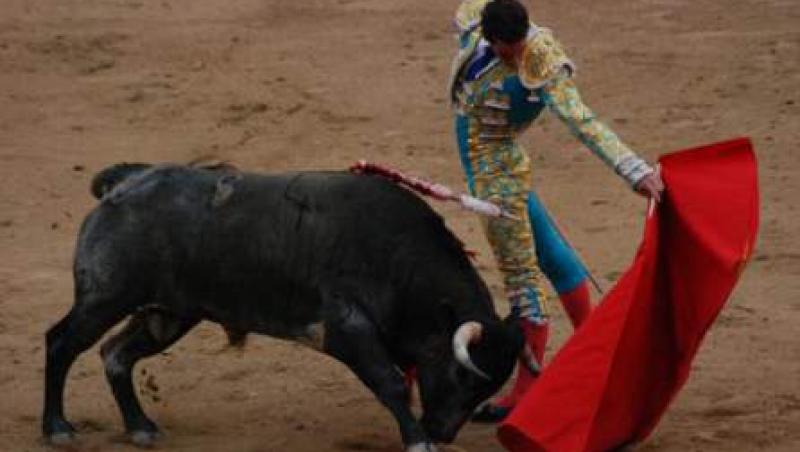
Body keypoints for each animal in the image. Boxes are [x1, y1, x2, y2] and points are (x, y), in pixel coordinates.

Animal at [45, 164, 532, 450]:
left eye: (489, 387)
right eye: (461, 375)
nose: (443, 434)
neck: (400, 262)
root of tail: (122, 185)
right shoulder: (346, 327)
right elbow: (392, 384)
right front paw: (417, 442)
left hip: (168, 313)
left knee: (115, 354)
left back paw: (140, 427)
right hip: (105, 298)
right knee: (61, 343)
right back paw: (57, 428)